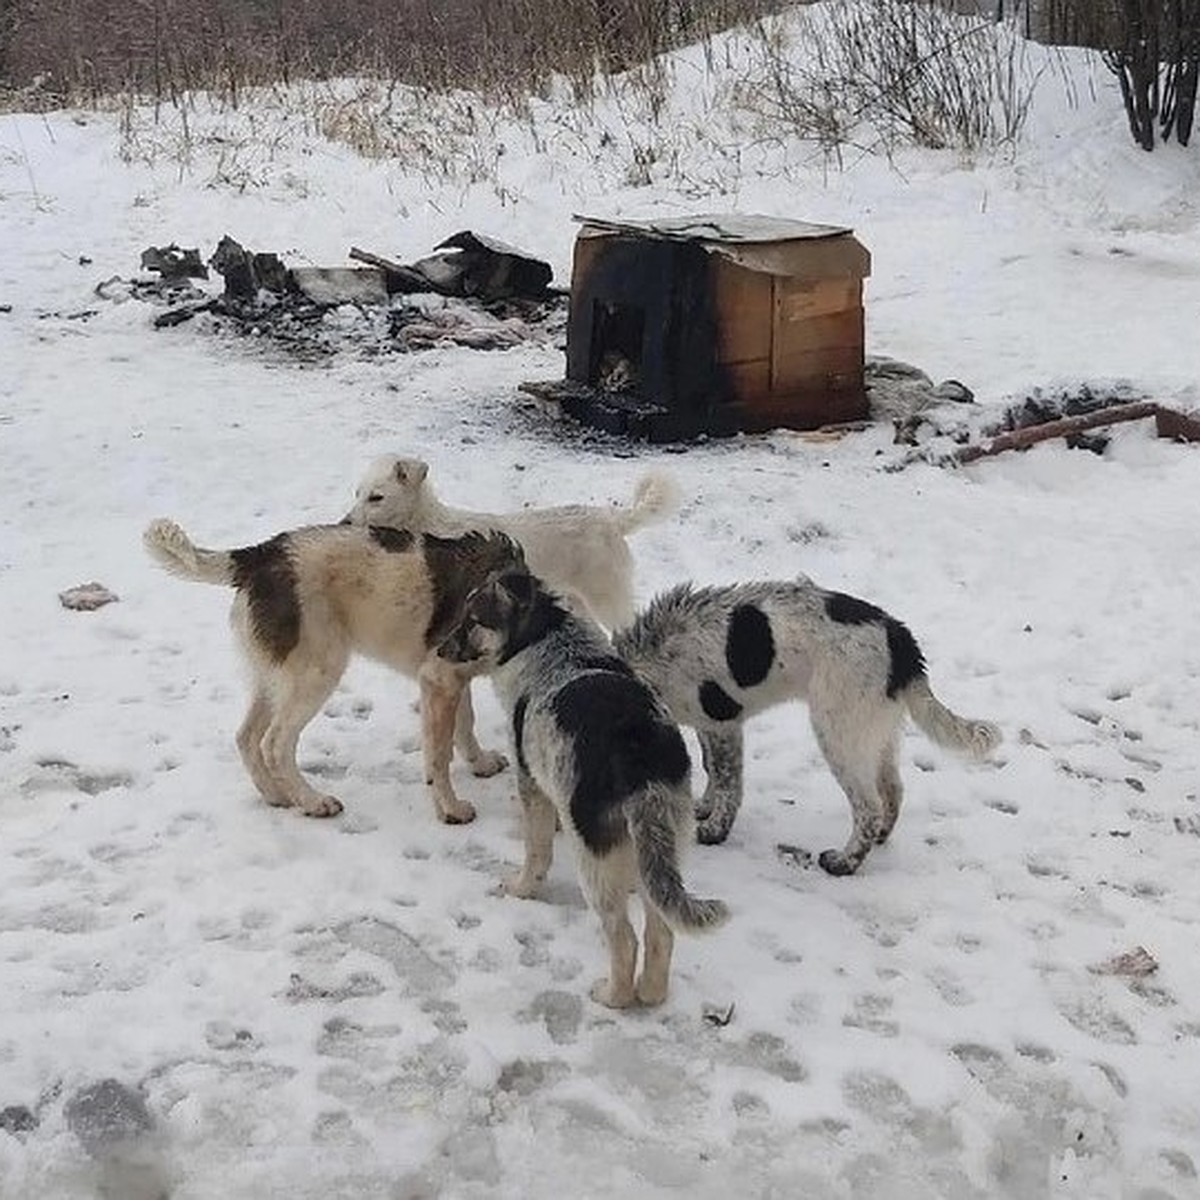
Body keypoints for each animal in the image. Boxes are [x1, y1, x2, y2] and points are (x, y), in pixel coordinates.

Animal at [141, 516, 525, 825]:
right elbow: (439, 754)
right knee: (275, 744)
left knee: (246, 737)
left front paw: (480, 763)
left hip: (276, 677)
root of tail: (260, 555)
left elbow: (465, 724)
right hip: (316, 672)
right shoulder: (439, 676)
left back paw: (278, 795)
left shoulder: (452, 679)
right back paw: (312, 801)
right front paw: (450, 809)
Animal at [436, 566, 724, 1008]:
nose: (438, 650)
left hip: (594, 859)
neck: (548, 638)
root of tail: (640, 757)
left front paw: (521, 888)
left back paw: (613, 996)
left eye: (473, 620)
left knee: (625, 939)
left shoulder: (531, 784)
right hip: (666, 840)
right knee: (662, 932)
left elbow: (536, 853)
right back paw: (652, 993)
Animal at [614, 578, 998, 873]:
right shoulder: (705, 722)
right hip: (876, 729)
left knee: (868, 807)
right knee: (892, 789)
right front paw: (704, 808)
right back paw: (880, 838)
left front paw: (714, 830)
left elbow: (727, 781)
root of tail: (902, 644)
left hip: (838, 729)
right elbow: (712, 768)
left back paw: (844, 862)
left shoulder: (724, 722)